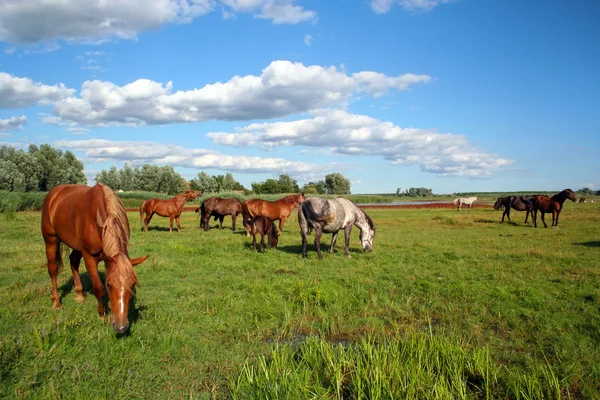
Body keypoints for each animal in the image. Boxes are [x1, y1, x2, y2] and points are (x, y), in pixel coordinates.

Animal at [41, 184, 149, 334]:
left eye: (132, 284)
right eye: (109, 285)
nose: (121, 327)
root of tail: (54, 193)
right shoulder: (89, 258)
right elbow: (98, 288)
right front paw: (102, 315)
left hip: (76, 245)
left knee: (73, 261)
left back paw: (80, 295)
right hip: (50, 239)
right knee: (52, 269)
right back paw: (56, 302)